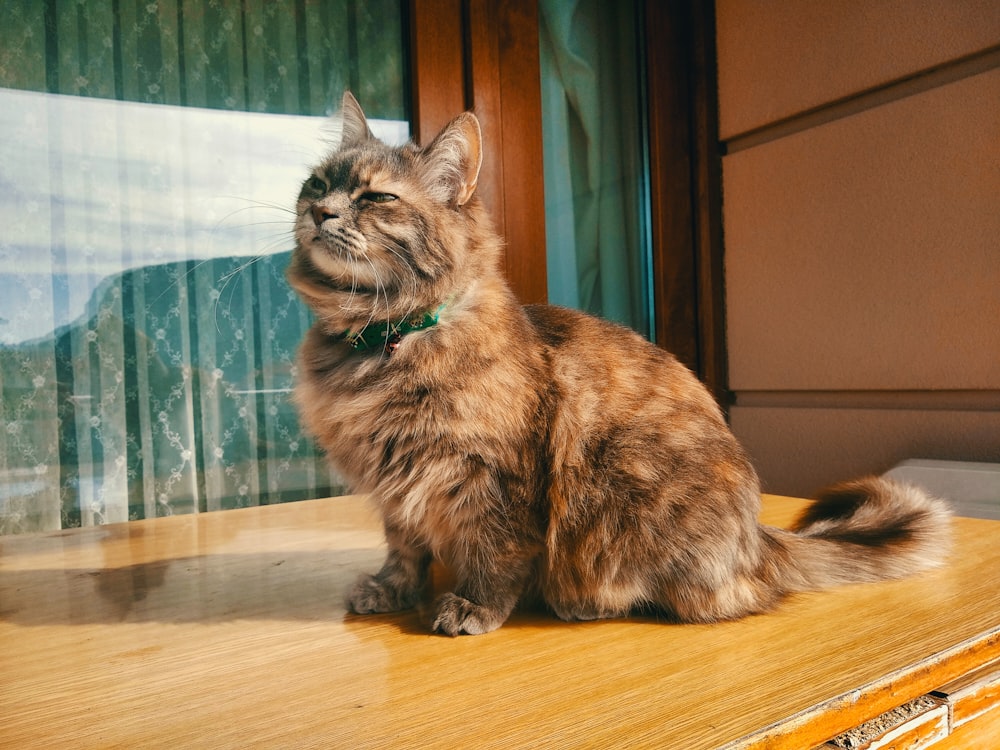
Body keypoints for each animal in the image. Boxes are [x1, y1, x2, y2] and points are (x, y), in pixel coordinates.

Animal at [286, 92, 948, 636]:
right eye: (317, 184)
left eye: (376, 197)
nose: (322, 213)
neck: (379, 340)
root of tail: (760, 542)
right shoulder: (396, 486)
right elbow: (404, 550)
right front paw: (391, 591)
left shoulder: (493, 476)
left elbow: (494, 553)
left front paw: (474, 606)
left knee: (704, 599)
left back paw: (584, 603)